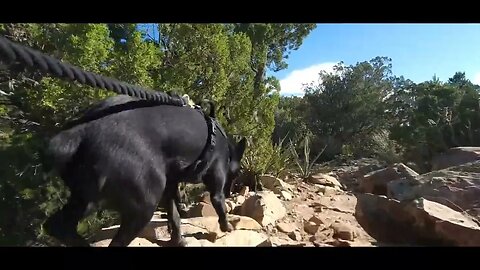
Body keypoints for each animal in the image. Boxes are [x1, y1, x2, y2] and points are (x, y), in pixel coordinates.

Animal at [44, 95, 248, 247]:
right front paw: (226, 226)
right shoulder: (216, 179)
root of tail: (78, 133)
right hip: (142, 205)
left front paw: (178, 239)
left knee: (57, 225)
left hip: (86, 198)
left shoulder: (170, 185)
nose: (232, 190)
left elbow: (174, 215)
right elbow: (219, 204)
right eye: (236, 173)